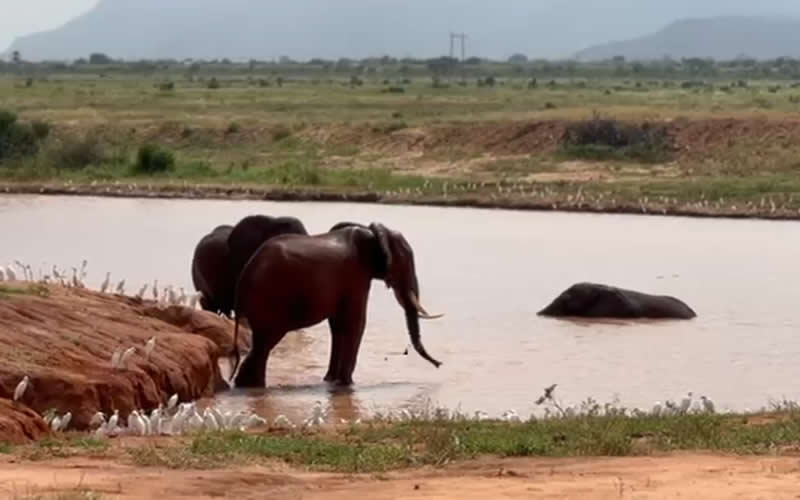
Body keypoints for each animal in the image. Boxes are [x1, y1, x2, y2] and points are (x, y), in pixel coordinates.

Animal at [229, 221, 444, 388]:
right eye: (406, 261)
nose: (440, 364)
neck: (371, 233)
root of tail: (243, 277)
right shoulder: (356, 276)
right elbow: (356, 323)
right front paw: (346, 385)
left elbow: (338, 325)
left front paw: (331, 381)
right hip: (270, 299)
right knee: (265, 343)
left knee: (261, 344)